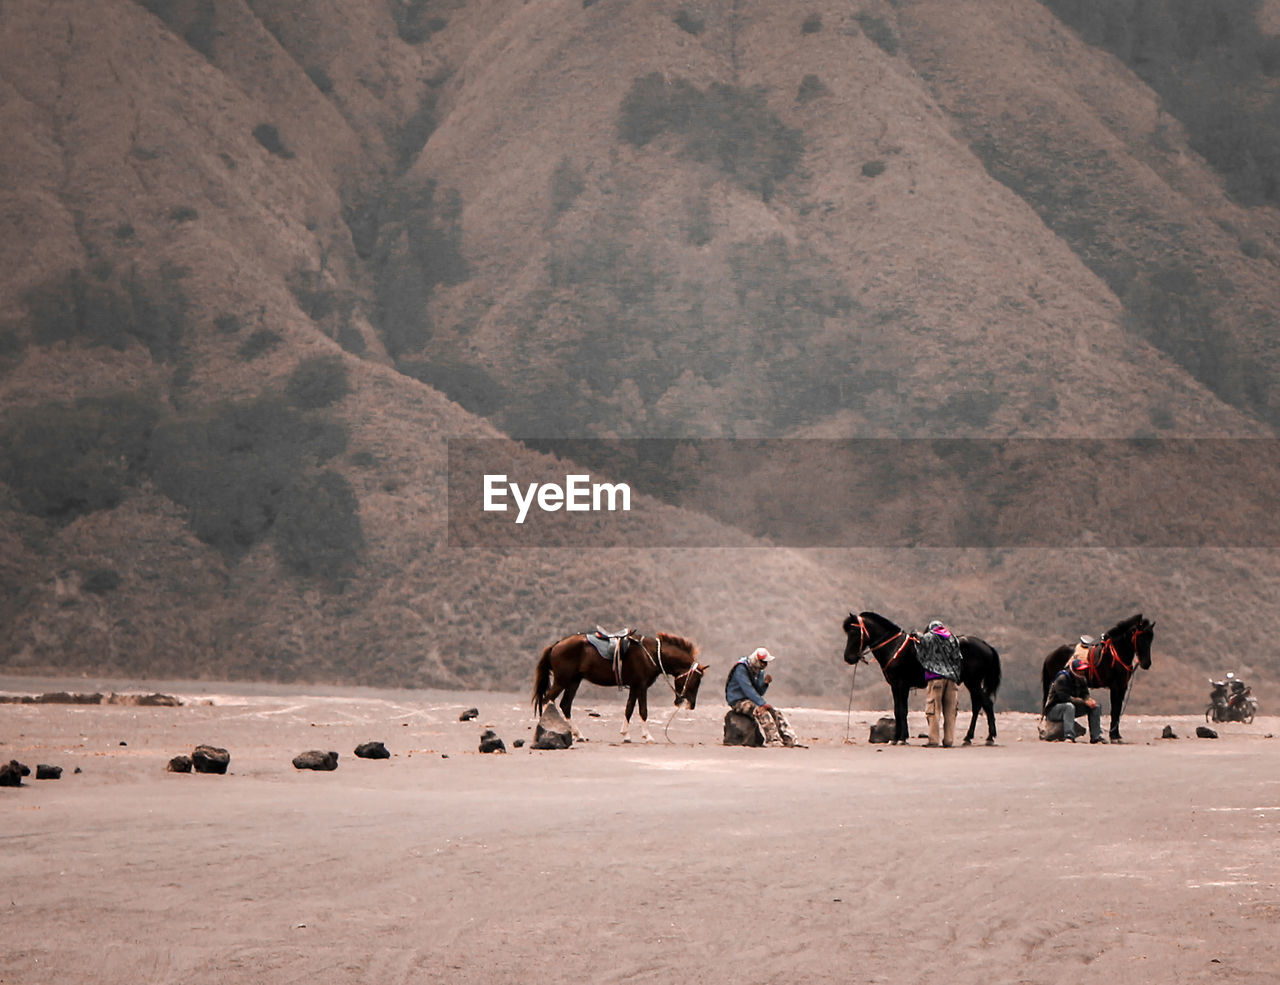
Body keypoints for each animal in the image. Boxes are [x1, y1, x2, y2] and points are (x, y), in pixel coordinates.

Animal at [532, 634, 711, 741]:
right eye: (696, 680)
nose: (691, 705)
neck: (651, 654)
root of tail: (555, 645)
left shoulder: (634, 687)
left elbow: (629, 709)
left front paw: (626, 735)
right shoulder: (641, 686)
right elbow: (643, 711)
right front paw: (648, 736)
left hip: (573, 682)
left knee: (564, 705)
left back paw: (579, 734)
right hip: (562, 681)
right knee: (548, 700)